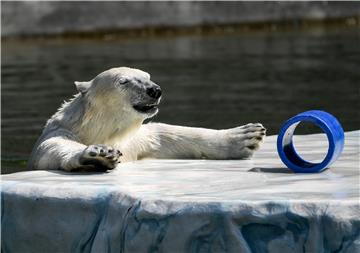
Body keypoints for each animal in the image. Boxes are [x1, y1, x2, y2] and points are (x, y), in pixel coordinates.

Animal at [27, 66, 264, 172]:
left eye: (147, 76)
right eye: (123, 81)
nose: (154, 90)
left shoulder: (136, 140)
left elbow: (165, 135)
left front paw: (247, 135)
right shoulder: (60, 132)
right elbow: (53, 148)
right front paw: (100, 154)